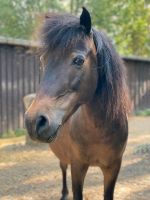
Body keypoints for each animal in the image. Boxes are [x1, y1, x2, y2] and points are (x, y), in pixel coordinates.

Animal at [25, 7, 129, 200]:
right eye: (43, 60)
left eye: (79, 60)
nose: (33, 121)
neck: (100, 131)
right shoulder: (77, 166)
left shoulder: (113, 168)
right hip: (63, 157)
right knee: (62, 169)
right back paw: (63, 193)